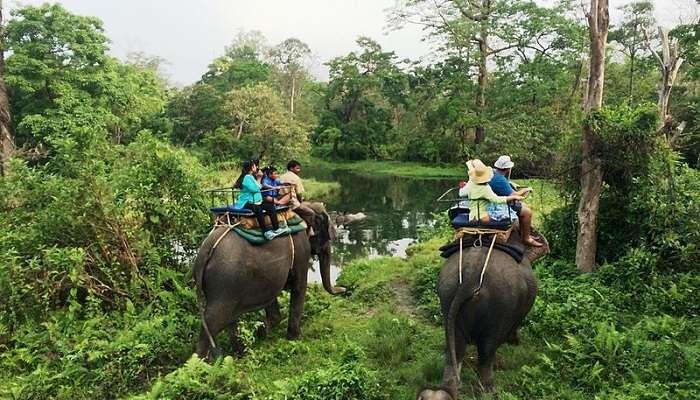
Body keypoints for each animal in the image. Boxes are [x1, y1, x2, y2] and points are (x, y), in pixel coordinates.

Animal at [193, 202, 346, 358]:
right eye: (326, 231)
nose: (343, 288)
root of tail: (205, 252)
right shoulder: (301, 250)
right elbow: (299, 287)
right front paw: (295, 339)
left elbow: (272, 295)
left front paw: (261, 331)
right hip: (225, 283)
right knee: (212, 321)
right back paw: (204, 361)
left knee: (227, 319)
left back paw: (238, 354)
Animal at [418, 228, 548, 400]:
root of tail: (470, 277)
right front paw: (515, 342)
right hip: (500, 304)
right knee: (487, 348)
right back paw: (490, 390)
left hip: (447, 295)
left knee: (455, 346)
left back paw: (449, 389)